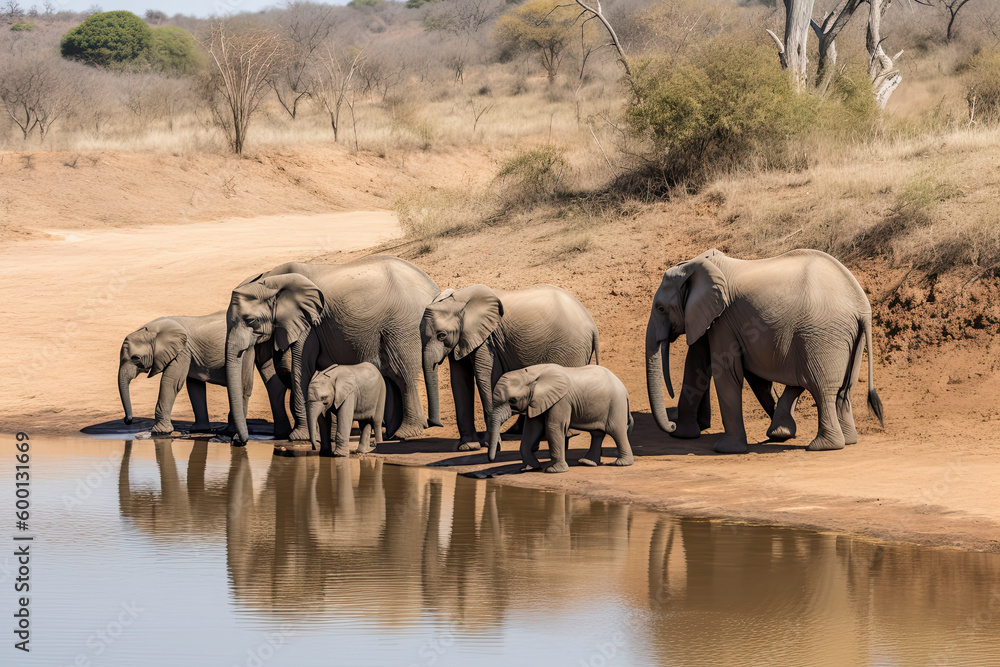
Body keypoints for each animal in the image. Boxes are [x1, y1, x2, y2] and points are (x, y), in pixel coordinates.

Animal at [118, 313, 292, 436]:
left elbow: (171, 382)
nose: (128, 421)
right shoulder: (188, 353)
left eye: (135, 358)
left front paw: (159, 432)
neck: (151, 330)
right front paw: (198, 430)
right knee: (271, 378)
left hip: (247, 349)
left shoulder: (182, 351)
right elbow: (194, 385)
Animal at [225, 256, 439, 445]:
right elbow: (281, 368)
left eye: (251, 320)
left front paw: (299, 437)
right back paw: (391, 434)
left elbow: (299, 368)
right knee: (391, 374)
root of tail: (433, 287)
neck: (271, 280)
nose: (238, 442)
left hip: (404, 323)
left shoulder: (309, 323)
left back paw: (405, 433)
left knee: (402, 373)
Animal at [421, 284, 599, 453]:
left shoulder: (486, 339)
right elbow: (459, 379)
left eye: (442, 335)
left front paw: (491, 444)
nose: (434, 423)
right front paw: (468, 447)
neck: (459, 300)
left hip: (570, 350)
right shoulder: (464, 338)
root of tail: (593, 326)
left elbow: (485, 378)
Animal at [491, 364, 634, 472]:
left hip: (616, 404)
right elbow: (532, 429)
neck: (531, 373)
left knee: (616, 430)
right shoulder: (538, 401)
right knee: (597, 434)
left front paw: (553, 470)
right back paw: (587, 462)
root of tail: (624, 390)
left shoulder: (561, 400)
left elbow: (554, 426)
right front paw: (529, 468)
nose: (492, 458)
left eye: (512, 400)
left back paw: (621, 464)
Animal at [645, 248, 884, 454]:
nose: (671, 424)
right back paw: (842, 440)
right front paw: (684, 434)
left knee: (820, 386)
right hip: (849, 337)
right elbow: (703, 364)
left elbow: (726, 372)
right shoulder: (712, 319)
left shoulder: (723, 320)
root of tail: (861, 305)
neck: (696, 264)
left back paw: (822, 446)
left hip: (822, 335)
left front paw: (724, 449)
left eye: (660, 308)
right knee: (842, 389)